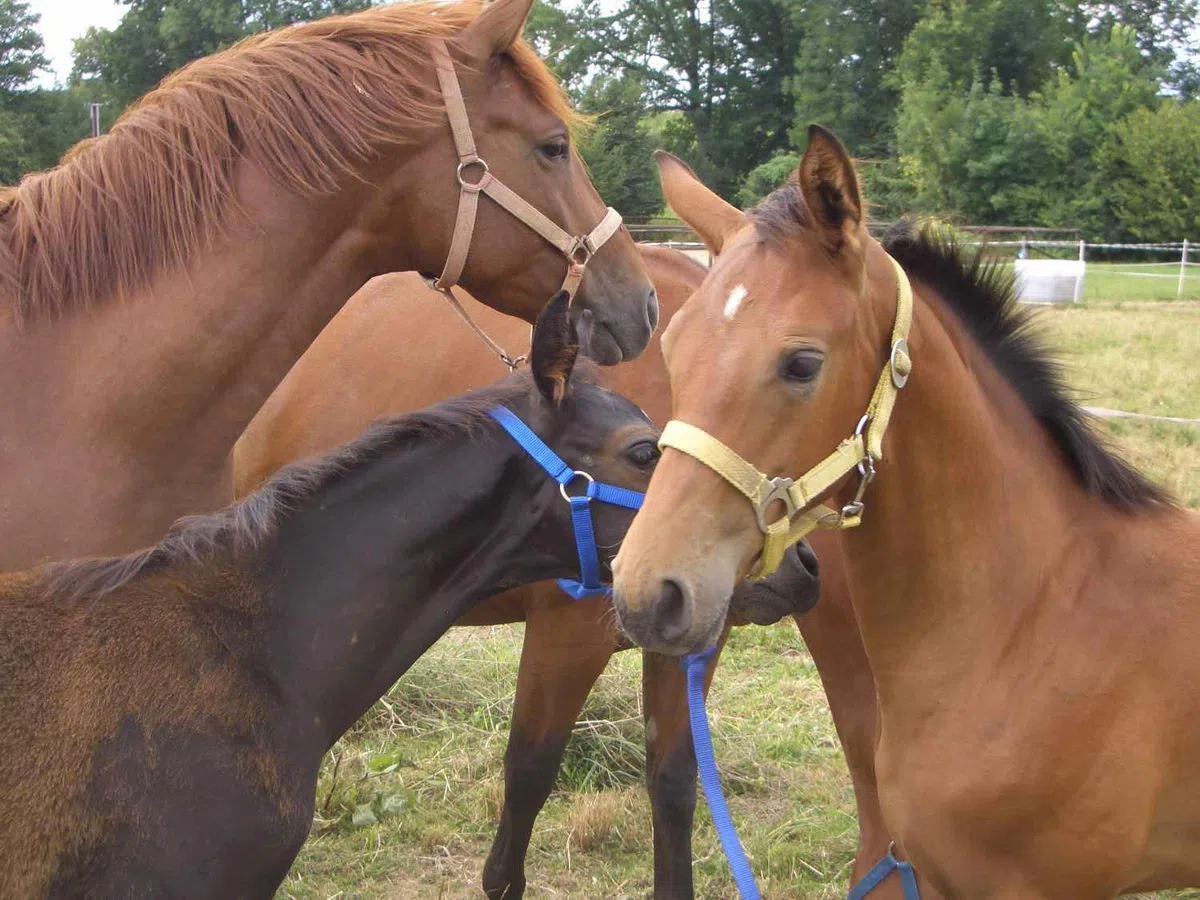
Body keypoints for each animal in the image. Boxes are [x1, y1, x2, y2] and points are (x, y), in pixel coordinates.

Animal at [234, 244, 892, 898]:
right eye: (645, 454)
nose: (801, 571)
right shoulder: (568, 630)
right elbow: (530, 767)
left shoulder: (690, 639)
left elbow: (674, 780)